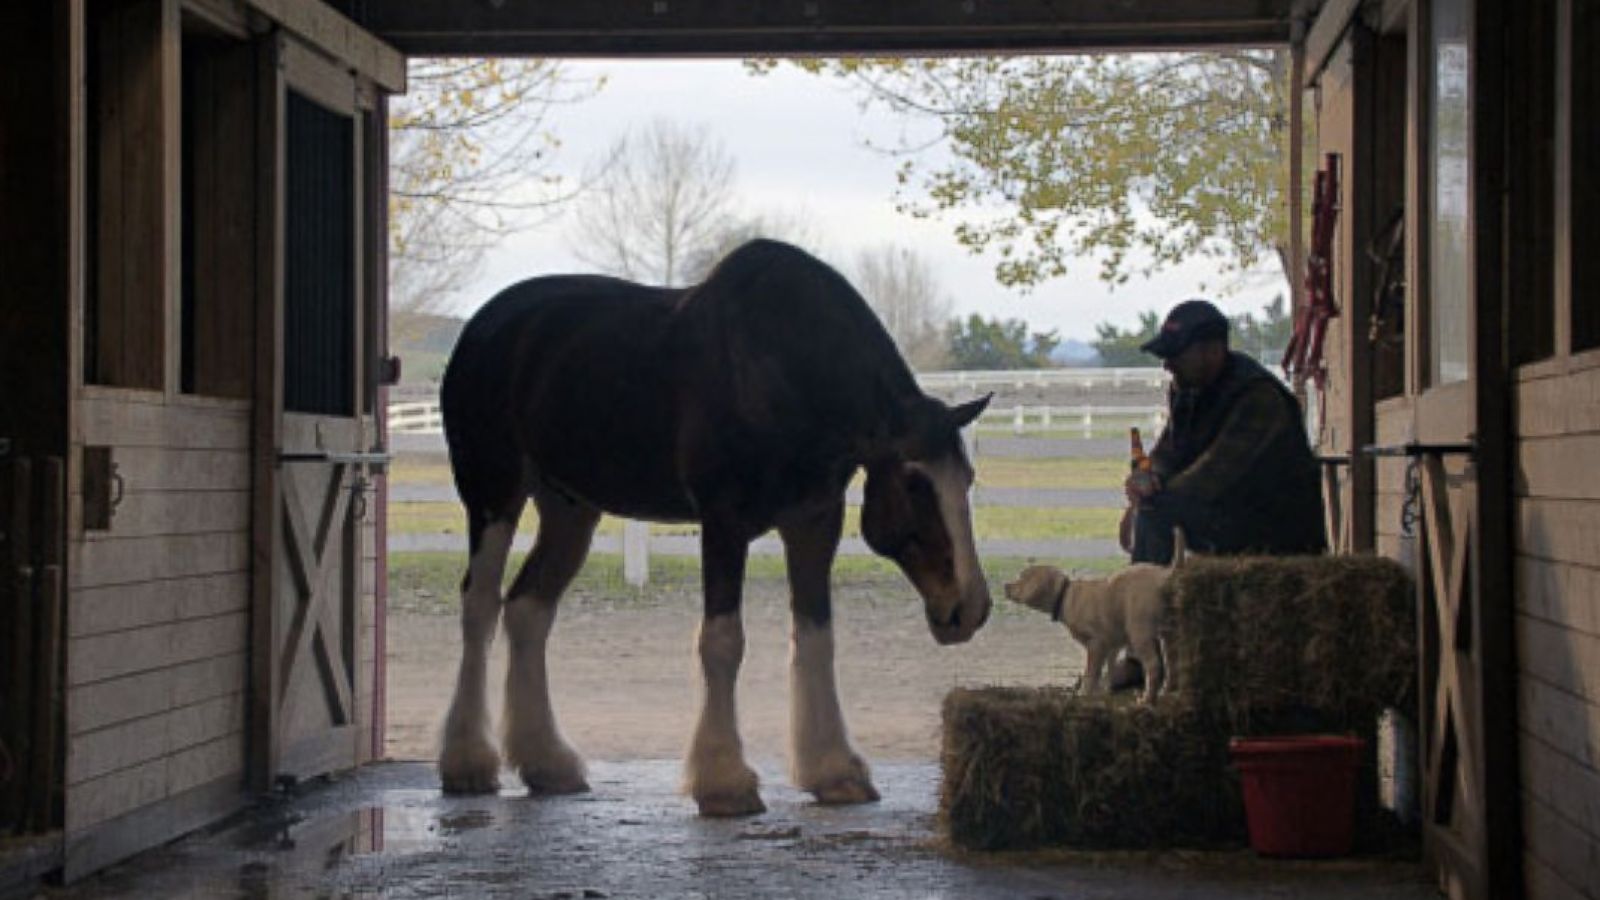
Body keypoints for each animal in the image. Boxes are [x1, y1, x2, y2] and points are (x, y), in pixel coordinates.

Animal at [435, 238, 985, 813]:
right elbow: (722, 642)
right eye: (916, 482)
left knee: (527, 610)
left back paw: (547, 763)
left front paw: (834, 771)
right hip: (492, 493)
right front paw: (724, 781)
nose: (970, 607)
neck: (784, 370)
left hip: (570, 510)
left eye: (967, 478)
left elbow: (817, 639)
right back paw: (468, 762)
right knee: (480, 606)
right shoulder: (724, 523)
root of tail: (485, 327)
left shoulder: (814, 522)